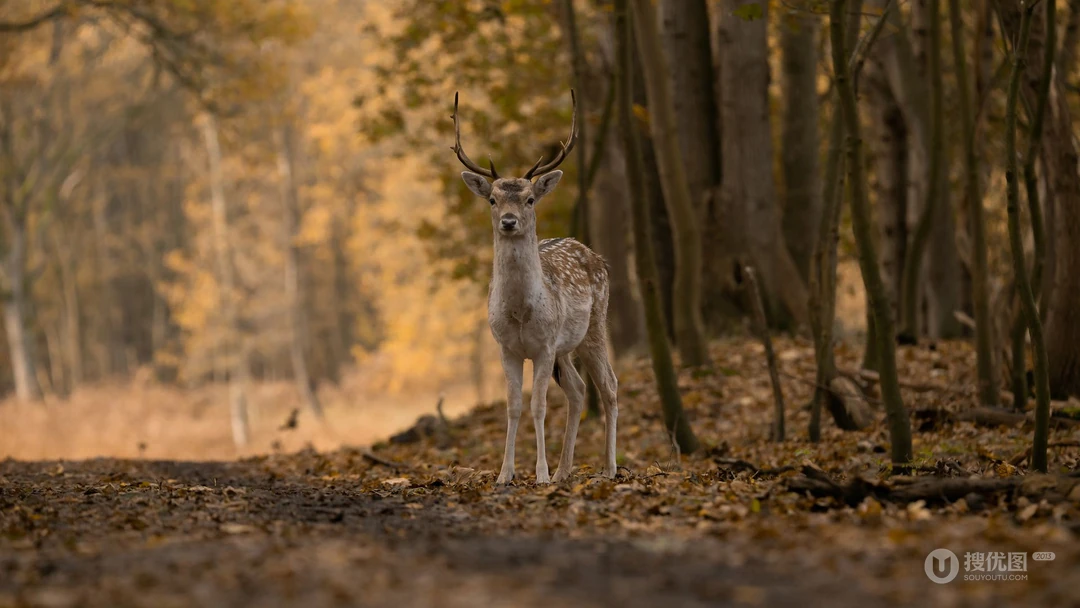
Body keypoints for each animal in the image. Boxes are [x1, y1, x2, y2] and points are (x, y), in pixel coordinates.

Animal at [451, 90, 618, 485]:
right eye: (493, 199)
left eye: (529, 199)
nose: (509, 221)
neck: (520, 312)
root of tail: (595, 254)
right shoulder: (506, 347)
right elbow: (513, 407)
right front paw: (505, 474)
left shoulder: (544, 345)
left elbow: (538, 405)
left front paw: (539, 474)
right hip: (565, 348)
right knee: (578, 390)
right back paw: (564, 471)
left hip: (595, 326)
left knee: (609, 386)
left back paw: (608, 467)